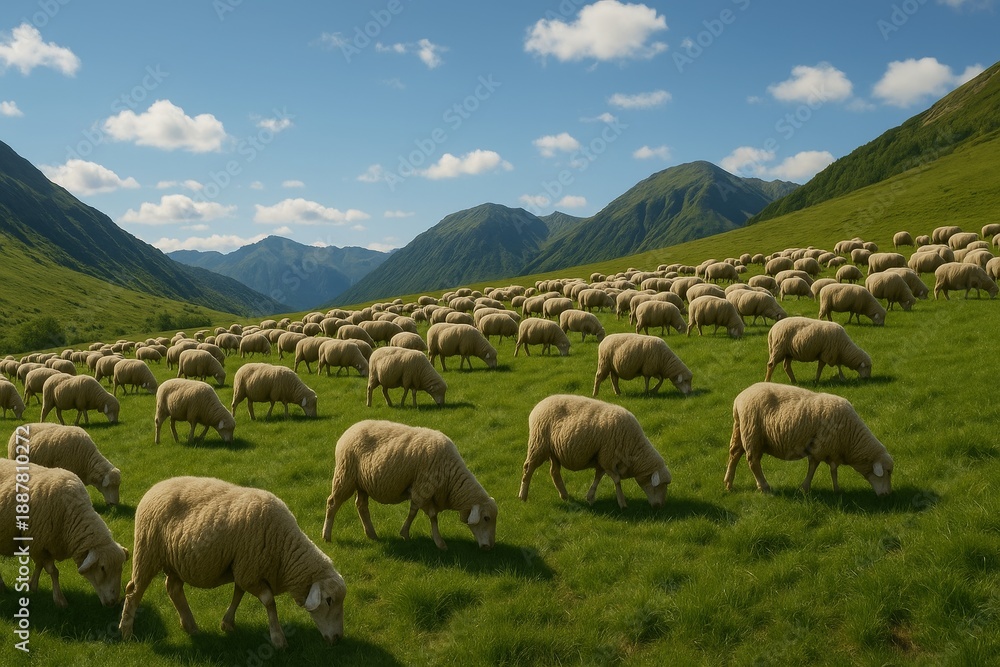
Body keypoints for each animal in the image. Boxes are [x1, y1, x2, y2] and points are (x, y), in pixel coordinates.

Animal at [0, 458, 129, 607]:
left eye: (121, 568)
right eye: (102, 568)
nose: (114, 602)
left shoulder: (41, 545)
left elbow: (39, 565)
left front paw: (32, 585)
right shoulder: (38, 543)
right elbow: (53, 571)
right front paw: (60, 599)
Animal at [119, 476, 345, 647]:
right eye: (329, 600)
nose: (337, 638)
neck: (284, 549)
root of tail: (154, 488)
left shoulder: (244, 568)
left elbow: (239, 593)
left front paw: (227, 623)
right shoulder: (249, 570)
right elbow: (269, 601)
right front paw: (278, 639)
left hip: (176, 561)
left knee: (173, 588)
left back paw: (191, 626)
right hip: (147, 551)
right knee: (133, 591)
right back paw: (126, 631)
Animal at [322, 420, 497, 551]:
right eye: (486, 518)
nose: (489, 547)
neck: (451, 478)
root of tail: (349, 430)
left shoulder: (426, 491)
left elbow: (427, 515)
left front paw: (435, 540)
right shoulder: (423, 487)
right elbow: (422, 514)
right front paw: (414, 536)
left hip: (362, 483)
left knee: (361, 505)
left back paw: (372, 534)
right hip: (345, 475)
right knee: (332, 503)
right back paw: (326, 536)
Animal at [518, 394, 671, 509]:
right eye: (660, 485)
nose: (660, 506)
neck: (633, 447)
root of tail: (538, 405)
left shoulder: (602, 458)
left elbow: (598, 477)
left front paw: (590, 497)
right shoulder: (608, 458)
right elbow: (616, 480)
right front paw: (622, 503)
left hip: (554, 451)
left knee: (554, 472)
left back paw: (564, 495)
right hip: (539, 444)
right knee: (528, 468)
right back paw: (523, 496)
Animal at [724, 382, 894, 496]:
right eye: (887, 472)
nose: (887, 495)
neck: (851, 437)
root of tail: (739, 399)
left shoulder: (832, 450)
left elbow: (833, 470)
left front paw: (837, 489)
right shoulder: (820, 446)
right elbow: (814, 466)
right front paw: (805, 488)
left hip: (740, 429)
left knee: (734, 454)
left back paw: (728, 483)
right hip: (753, 433)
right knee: (753, 461)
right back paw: (764, 486)